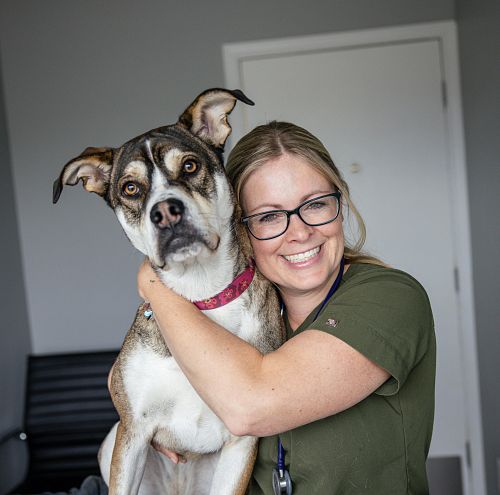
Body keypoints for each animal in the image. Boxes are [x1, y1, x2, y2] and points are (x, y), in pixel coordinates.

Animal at [53, 88, 284, 495]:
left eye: (190, 166)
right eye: (130, 188)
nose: (165, 212)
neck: (201, 295)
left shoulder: (241, 444)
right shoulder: (133, 431)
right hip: (111, 441)